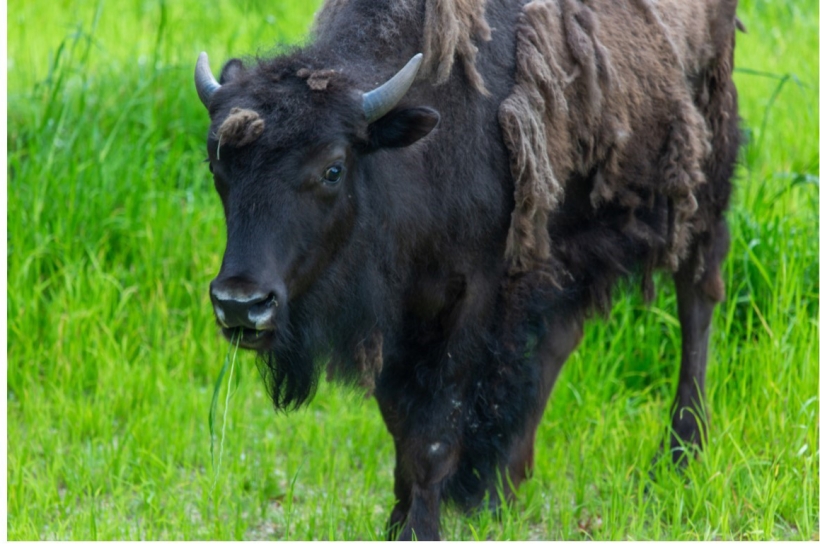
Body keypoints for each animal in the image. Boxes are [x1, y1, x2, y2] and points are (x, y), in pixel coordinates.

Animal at [194, 0, 741, 539]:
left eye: (333, 168)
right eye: (217, 167)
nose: (241, 303)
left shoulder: (472, 302)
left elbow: (435, 431)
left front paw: (420, 527)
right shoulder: (402, 318)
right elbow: (402, 426)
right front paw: (402, 518)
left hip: (701, 183)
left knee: (698, 299)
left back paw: (679, 456)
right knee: (560, 338)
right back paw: (503, 492)